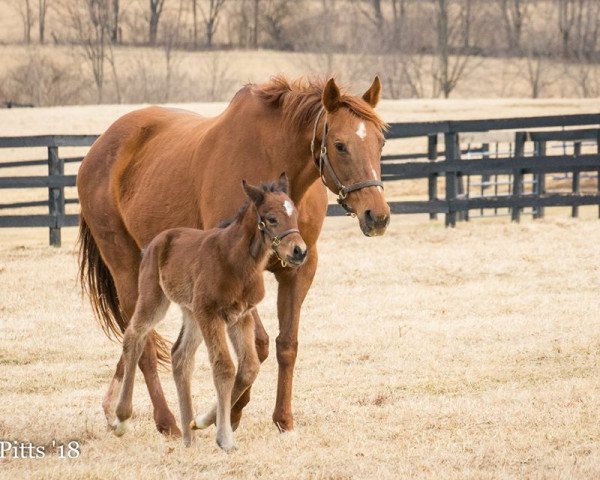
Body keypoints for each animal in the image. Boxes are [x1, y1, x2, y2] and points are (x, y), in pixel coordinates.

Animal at [111, 174, 304, 452]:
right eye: (271, 218)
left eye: (295, 214)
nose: (300, 251)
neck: (236, 262)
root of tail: (154, 242)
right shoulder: (210, 314)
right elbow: (224, 367)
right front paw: (225, 437)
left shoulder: (241, 316)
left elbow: (249, 368)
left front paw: (202, 421)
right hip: (155, 299)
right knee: (134, 336)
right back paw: (121, 419)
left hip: (191, 313)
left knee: (180, 357)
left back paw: (188, 437)